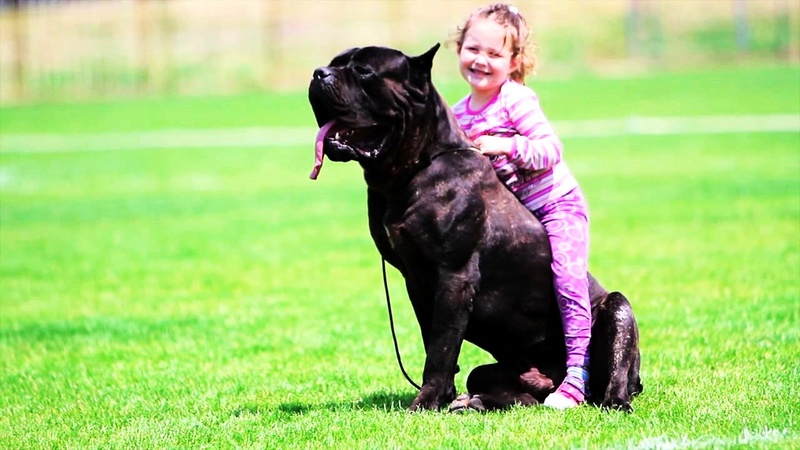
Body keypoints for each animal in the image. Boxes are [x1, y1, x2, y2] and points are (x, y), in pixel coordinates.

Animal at [308, 43, 644, 412]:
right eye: (335, 63)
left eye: (364, 71)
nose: (319, 73)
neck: (413, 170)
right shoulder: (417, 282)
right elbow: (435, 342)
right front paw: (442, 397)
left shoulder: (454, 277)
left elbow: (440, 348)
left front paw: (425, 402)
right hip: (500, 372)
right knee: (514, 394)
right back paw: (474, 402)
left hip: (617, 311)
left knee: (613, 376)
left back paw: (607, 398)